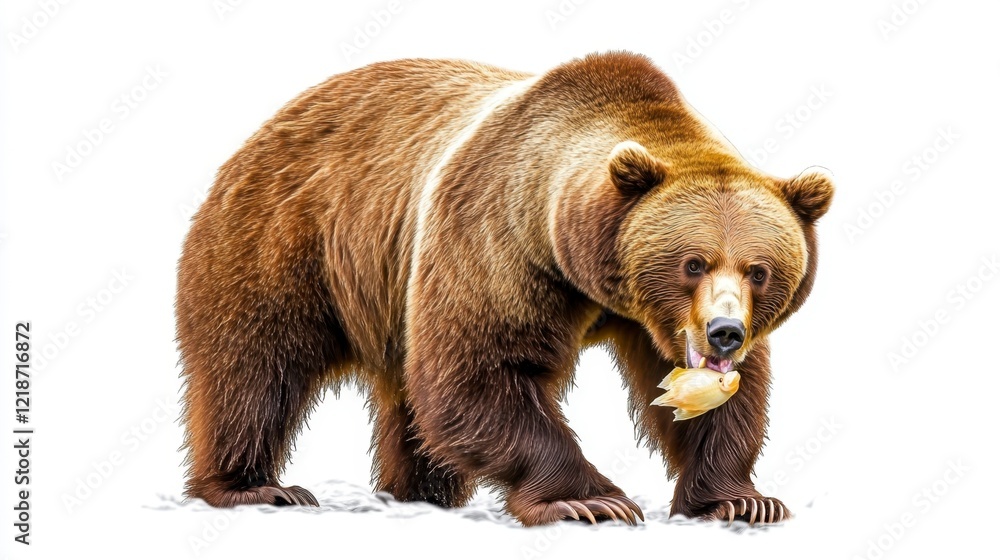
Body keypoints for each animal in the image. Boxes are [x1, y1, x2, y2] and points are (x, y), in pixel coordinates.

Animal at [176, 51, 833, 526]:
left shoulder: (646, 317)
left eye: (758, 269)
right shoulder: (501, 240)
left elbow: (723, 402)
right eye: (693, 263)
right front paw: (591, 500)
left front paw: (741, 499)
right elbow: (480, 372)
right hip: (286, 242)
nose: (724, 333)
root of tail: (269, 123)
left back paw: (422, 492)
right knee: (254, 366)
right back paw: (258, 487)